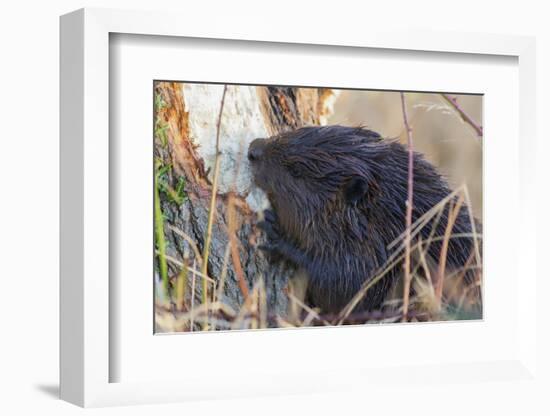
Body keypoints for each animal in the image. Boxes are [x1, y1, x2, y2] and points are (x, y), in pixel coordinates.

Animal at [249, 125, 484, 314]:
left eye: (297, 170)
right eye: (297, 130)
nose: (253, 149)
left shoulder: (388, 254)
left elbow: (346, 290)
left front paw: (274, 232)